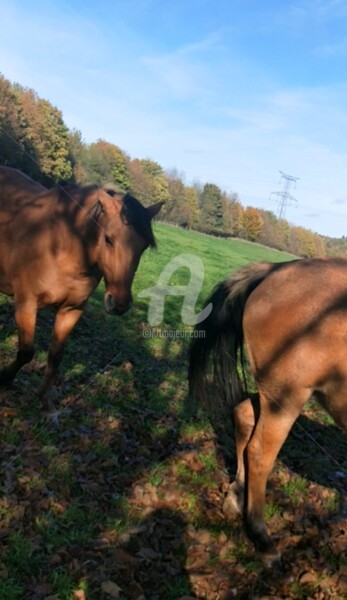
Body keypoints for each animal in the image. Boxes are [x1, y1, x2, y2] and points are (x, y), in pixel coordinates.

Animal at [0, 166, 163, 414]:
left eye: (144, 246)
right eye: (108, 239)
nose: (120, 304)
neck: (61, 247)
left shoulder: (71, 310)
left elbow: (56, 356)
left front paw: (45, 400)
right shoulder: (26, 304)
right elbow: (26, 352)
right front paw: (5, 380)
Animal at [190, 258, 347, 564]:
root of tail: (275, 268)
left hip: (271, 392)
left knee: (243, 416)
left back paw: (237, 497)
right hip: (285, 397)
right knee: (259, 452)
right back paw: (261, 535)